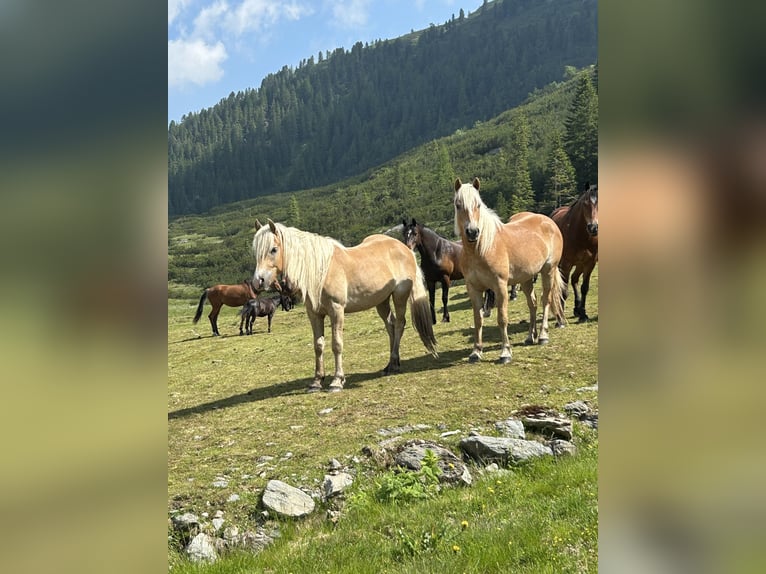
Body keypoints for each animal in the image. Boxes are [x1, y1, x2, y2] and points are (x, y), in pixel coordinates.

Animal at [252, 219, 438, 392]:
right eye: (256, 251)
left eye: (273, 249)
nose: (258, 281)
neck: (322, 271)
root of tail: (405, 249)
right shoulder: (314, 314)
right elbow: (318, 346)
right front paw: (317, 381)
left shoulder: (337, 311)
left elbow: (337, 344)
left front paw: (337, 381)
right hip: (381, 301)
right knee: (390, 326)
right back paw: (391, 364)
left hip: (399, 296)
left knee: (399, 324)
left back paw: (393, 362)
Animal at [453, 177, 566, 363]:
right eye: (458, 204)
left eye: (478, 205)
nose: (472, 232)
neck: (482, 249)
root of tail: (549, 221)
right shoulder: (473, 288)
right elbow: (478, 320)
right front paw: (476, 352)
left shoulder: (500, 286)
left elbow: (502, 319)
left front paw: (505, 352)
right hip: (526, 278)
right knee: (533, 304)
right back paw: (530, 337)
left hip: (548, 271)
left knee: (546, 300)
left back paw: (543, 336)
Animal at [551, 183, 598, 322]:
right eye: (585, 203)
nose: (593, 227)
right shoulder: (566, 264)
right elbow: (564, 290)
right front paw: (560, 318)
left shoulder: (590, 263)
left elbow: (584, 288)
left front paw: (583, 314)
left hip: (580, 264)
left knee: (574, 279)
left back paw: (577, 309)